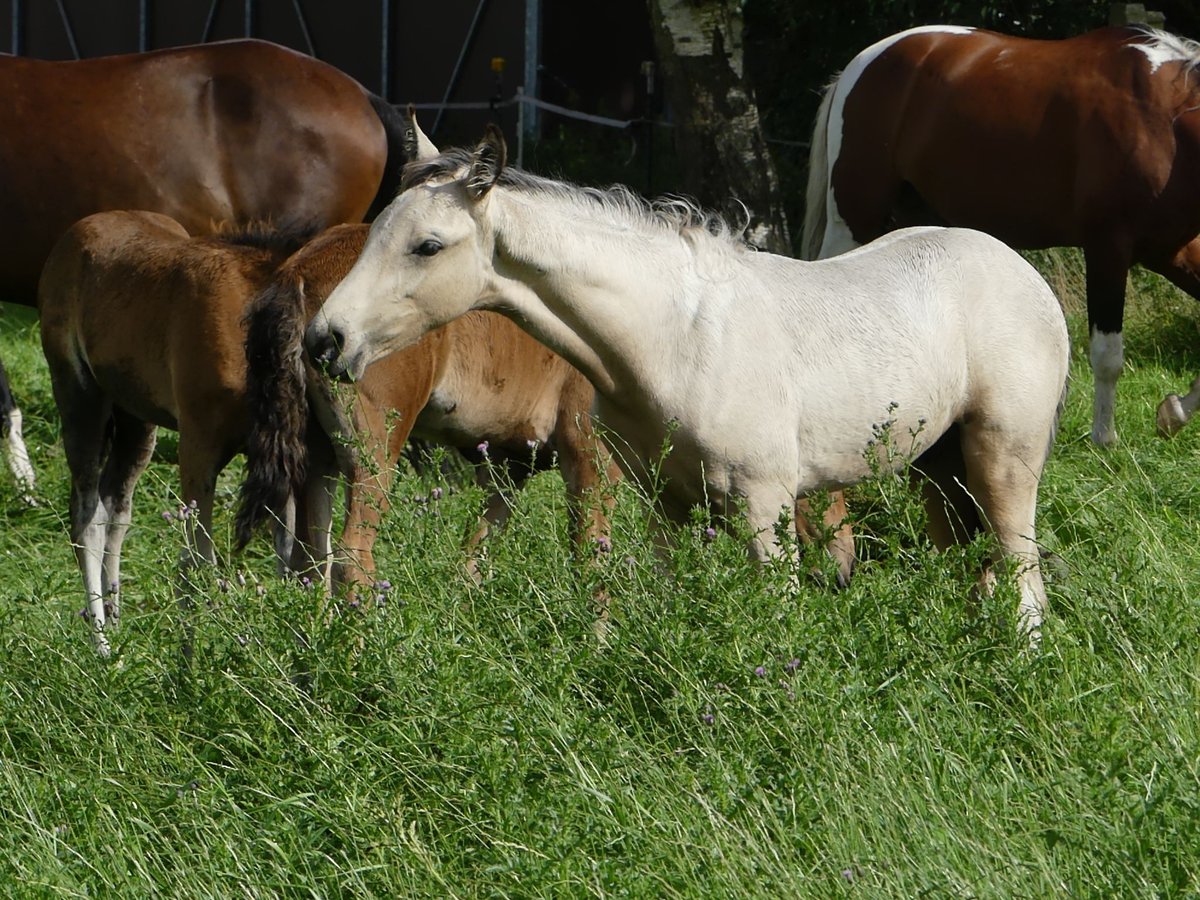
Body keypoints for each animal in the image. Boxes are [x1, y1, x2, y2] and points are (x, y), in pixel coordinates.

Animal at [307, 127, 1070, 638]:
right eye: (377, 231)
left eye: (428, 245)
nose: (325, 340)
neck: (677, 337)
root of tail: (1025, 275)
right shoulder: (663, 505)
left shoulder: (765, 508)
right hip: (940, 469)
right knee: (973, 566)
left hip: (1003, 460)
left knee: (1024, 579)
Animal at [801, 26, 1200, 448]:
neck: (1163, 121)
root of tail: (862, 63)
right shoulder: (1107, 248)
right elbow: (1108, 355)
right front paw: (1105, 438)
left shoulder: (1171, 251)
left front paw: (1173, 413)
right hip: (853, 219)